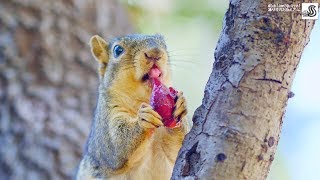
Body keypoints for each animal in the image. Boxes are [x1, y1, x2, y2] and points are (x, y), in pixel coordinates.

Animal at [76, 34, 189, 180]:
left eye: (164, 44)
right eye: (117, 50)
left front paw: (181, 105)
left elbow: (179, 149)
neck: (141, 101)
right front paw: (144, 119)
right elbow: (117, 145)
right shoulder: (106, 122)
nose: (155, 53)